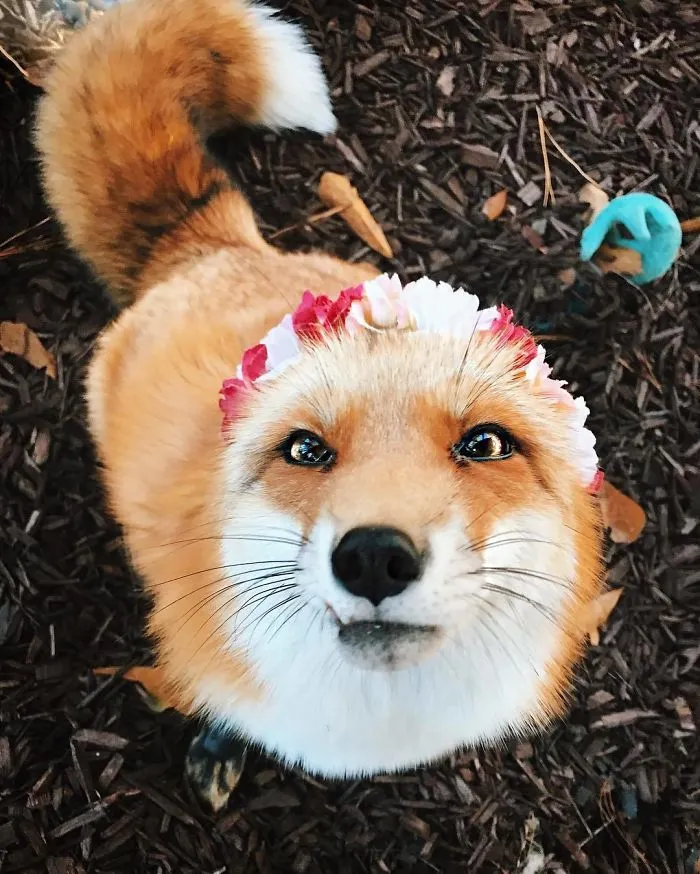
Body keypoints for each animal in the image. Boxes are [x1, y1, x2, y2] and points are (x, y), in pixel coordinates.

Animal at [35, 0, 626, 811]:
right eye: (305, 449)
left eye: (485, 444)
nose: (374, 557)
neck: (372, 724)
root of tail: (218, 250)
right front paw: (219, 746)